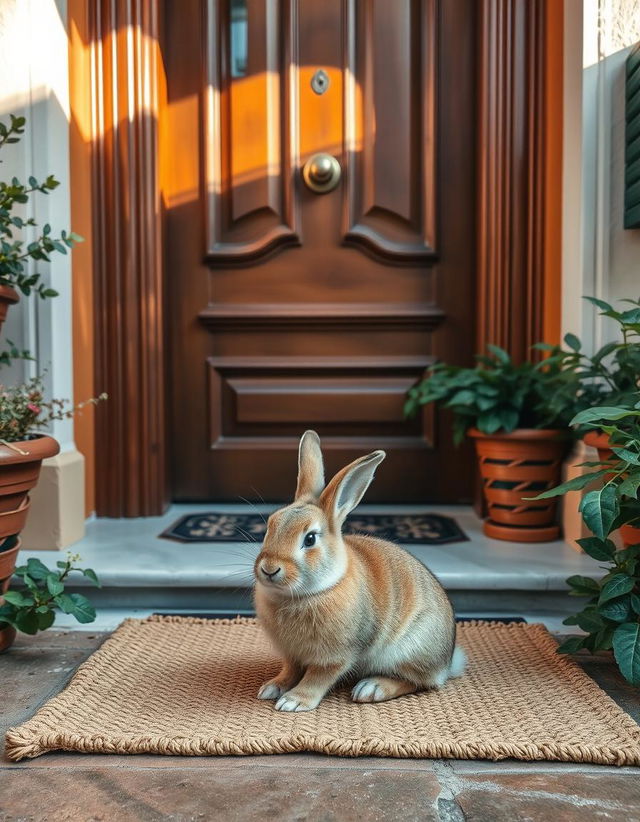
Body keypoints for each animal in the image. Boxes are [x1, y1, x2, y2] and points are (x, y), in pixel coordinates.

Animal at [252, 432, 468, 716]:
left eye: (310, 539)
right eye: (271, 525)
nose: (269, 569)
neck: (309, 593)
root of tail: (447, 662)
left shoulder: (334, 656)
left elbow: (317, 677)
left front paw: (293, 701)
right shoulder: (292, 655)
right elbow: (290, 670)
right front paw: (272, 688)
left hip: (409, 650)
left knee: (419, 682)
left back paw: (371, 689)